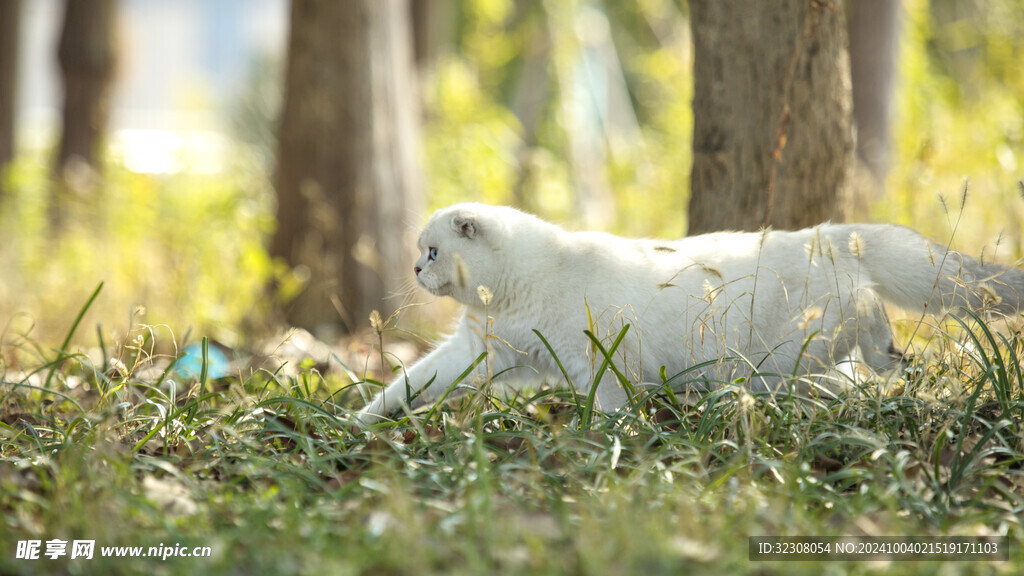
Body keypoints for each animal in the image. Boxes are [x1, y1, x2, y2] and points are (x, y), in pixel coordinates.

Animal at [356, 201, 1019, 422]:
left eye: (432, 251)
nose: (413, 270)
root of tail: (825, 233)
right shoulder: (475, 350)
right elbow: (409, 384)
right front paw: (358, 422)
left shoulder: (599, 356)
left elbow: (610, 402)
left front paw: (611, 437)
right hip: (792, 365)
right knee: (848, 374)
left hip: (792, 348)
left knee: (870, 314)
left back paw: (890, 357)